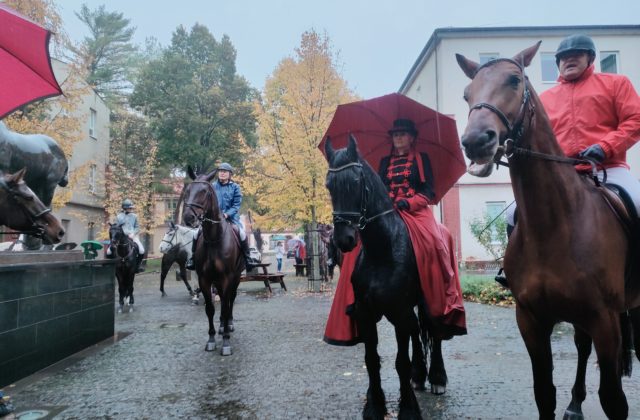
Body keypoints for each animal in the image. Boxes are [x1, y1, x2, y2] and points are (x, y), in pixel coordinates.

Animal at [181, 166, 244, 356]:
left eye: (204, 191)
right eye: (188, 190)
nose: (188, 218)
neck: (214, 238)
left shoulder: (227, 278)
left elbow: (225, 305)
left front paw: (226, 343)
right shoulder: (205, 279)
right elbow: (210, 309)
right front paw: (211, 339)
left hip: (235, 278)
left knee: (230, 299)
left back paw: (228, 324)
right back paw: (222, 326)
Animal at [324, 136, 444, 418]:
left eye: (357, 181)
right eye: (329, 185)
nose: (344, 239)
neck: (383, 249)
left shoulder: (399, 311)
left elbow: (400, 362)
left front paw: (408, 408)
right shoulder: (365, 314)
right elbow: (371, 360)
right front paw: (374, 405)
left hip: (430, 301)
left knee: (434, 331)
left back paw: (436, 378)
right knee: (416, 331)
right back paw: (419, 375)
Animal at [458, 42, 636, 420]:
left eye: (514, 80)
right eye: (467, 93)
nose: (476, 141)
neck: (554, 226)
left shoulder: (605, 320)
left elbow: (613, 399)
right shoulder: (531, 319)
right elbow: (544, 393)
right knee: (581, 347)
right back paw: (575, 403)